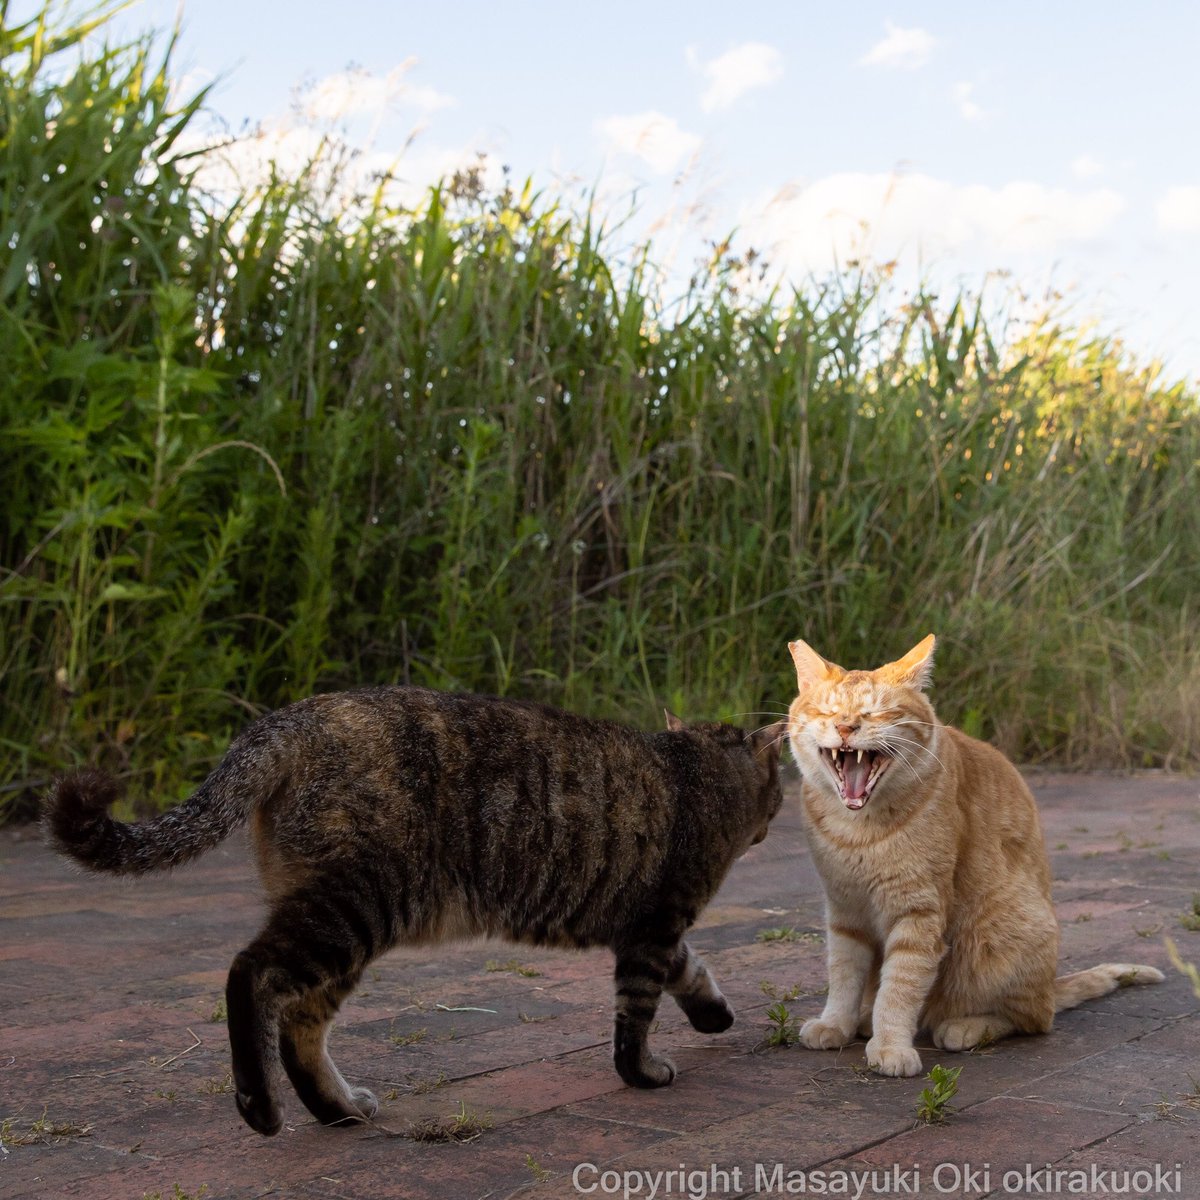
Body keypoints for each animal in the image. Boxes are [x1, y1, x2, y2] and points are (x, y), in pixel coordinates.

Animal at [46, 686, 787, 1132]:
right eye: (780, 792)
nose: (776, 820)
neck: (696, 768)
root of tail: (292, 719)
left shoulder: (649, 930)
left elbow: (691, 969)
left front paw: (714, 1014)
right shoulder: (654, 925)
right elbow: (636, 1017)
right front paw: (645, 1073)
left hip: (344, 928)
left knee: (299, 1024)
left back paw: (339, 1109)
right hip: (352, 908)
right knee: (249, 976)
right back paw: (259, 1105)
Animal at [787, 638, 1161, 1080]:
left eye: (877, 713)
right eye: (827, 712)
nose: (846, 728)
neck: (857, 831)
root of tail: (1050, 987)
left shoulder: (918, 914)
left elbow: (900, 987)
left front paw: (892, 1045)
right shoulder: (845, 911)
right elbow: (844, 975)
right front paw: (837, 1024)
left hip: (1000, 935)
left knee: (1033, 1020)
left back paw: (964, 1027)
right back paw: (864, 1021)